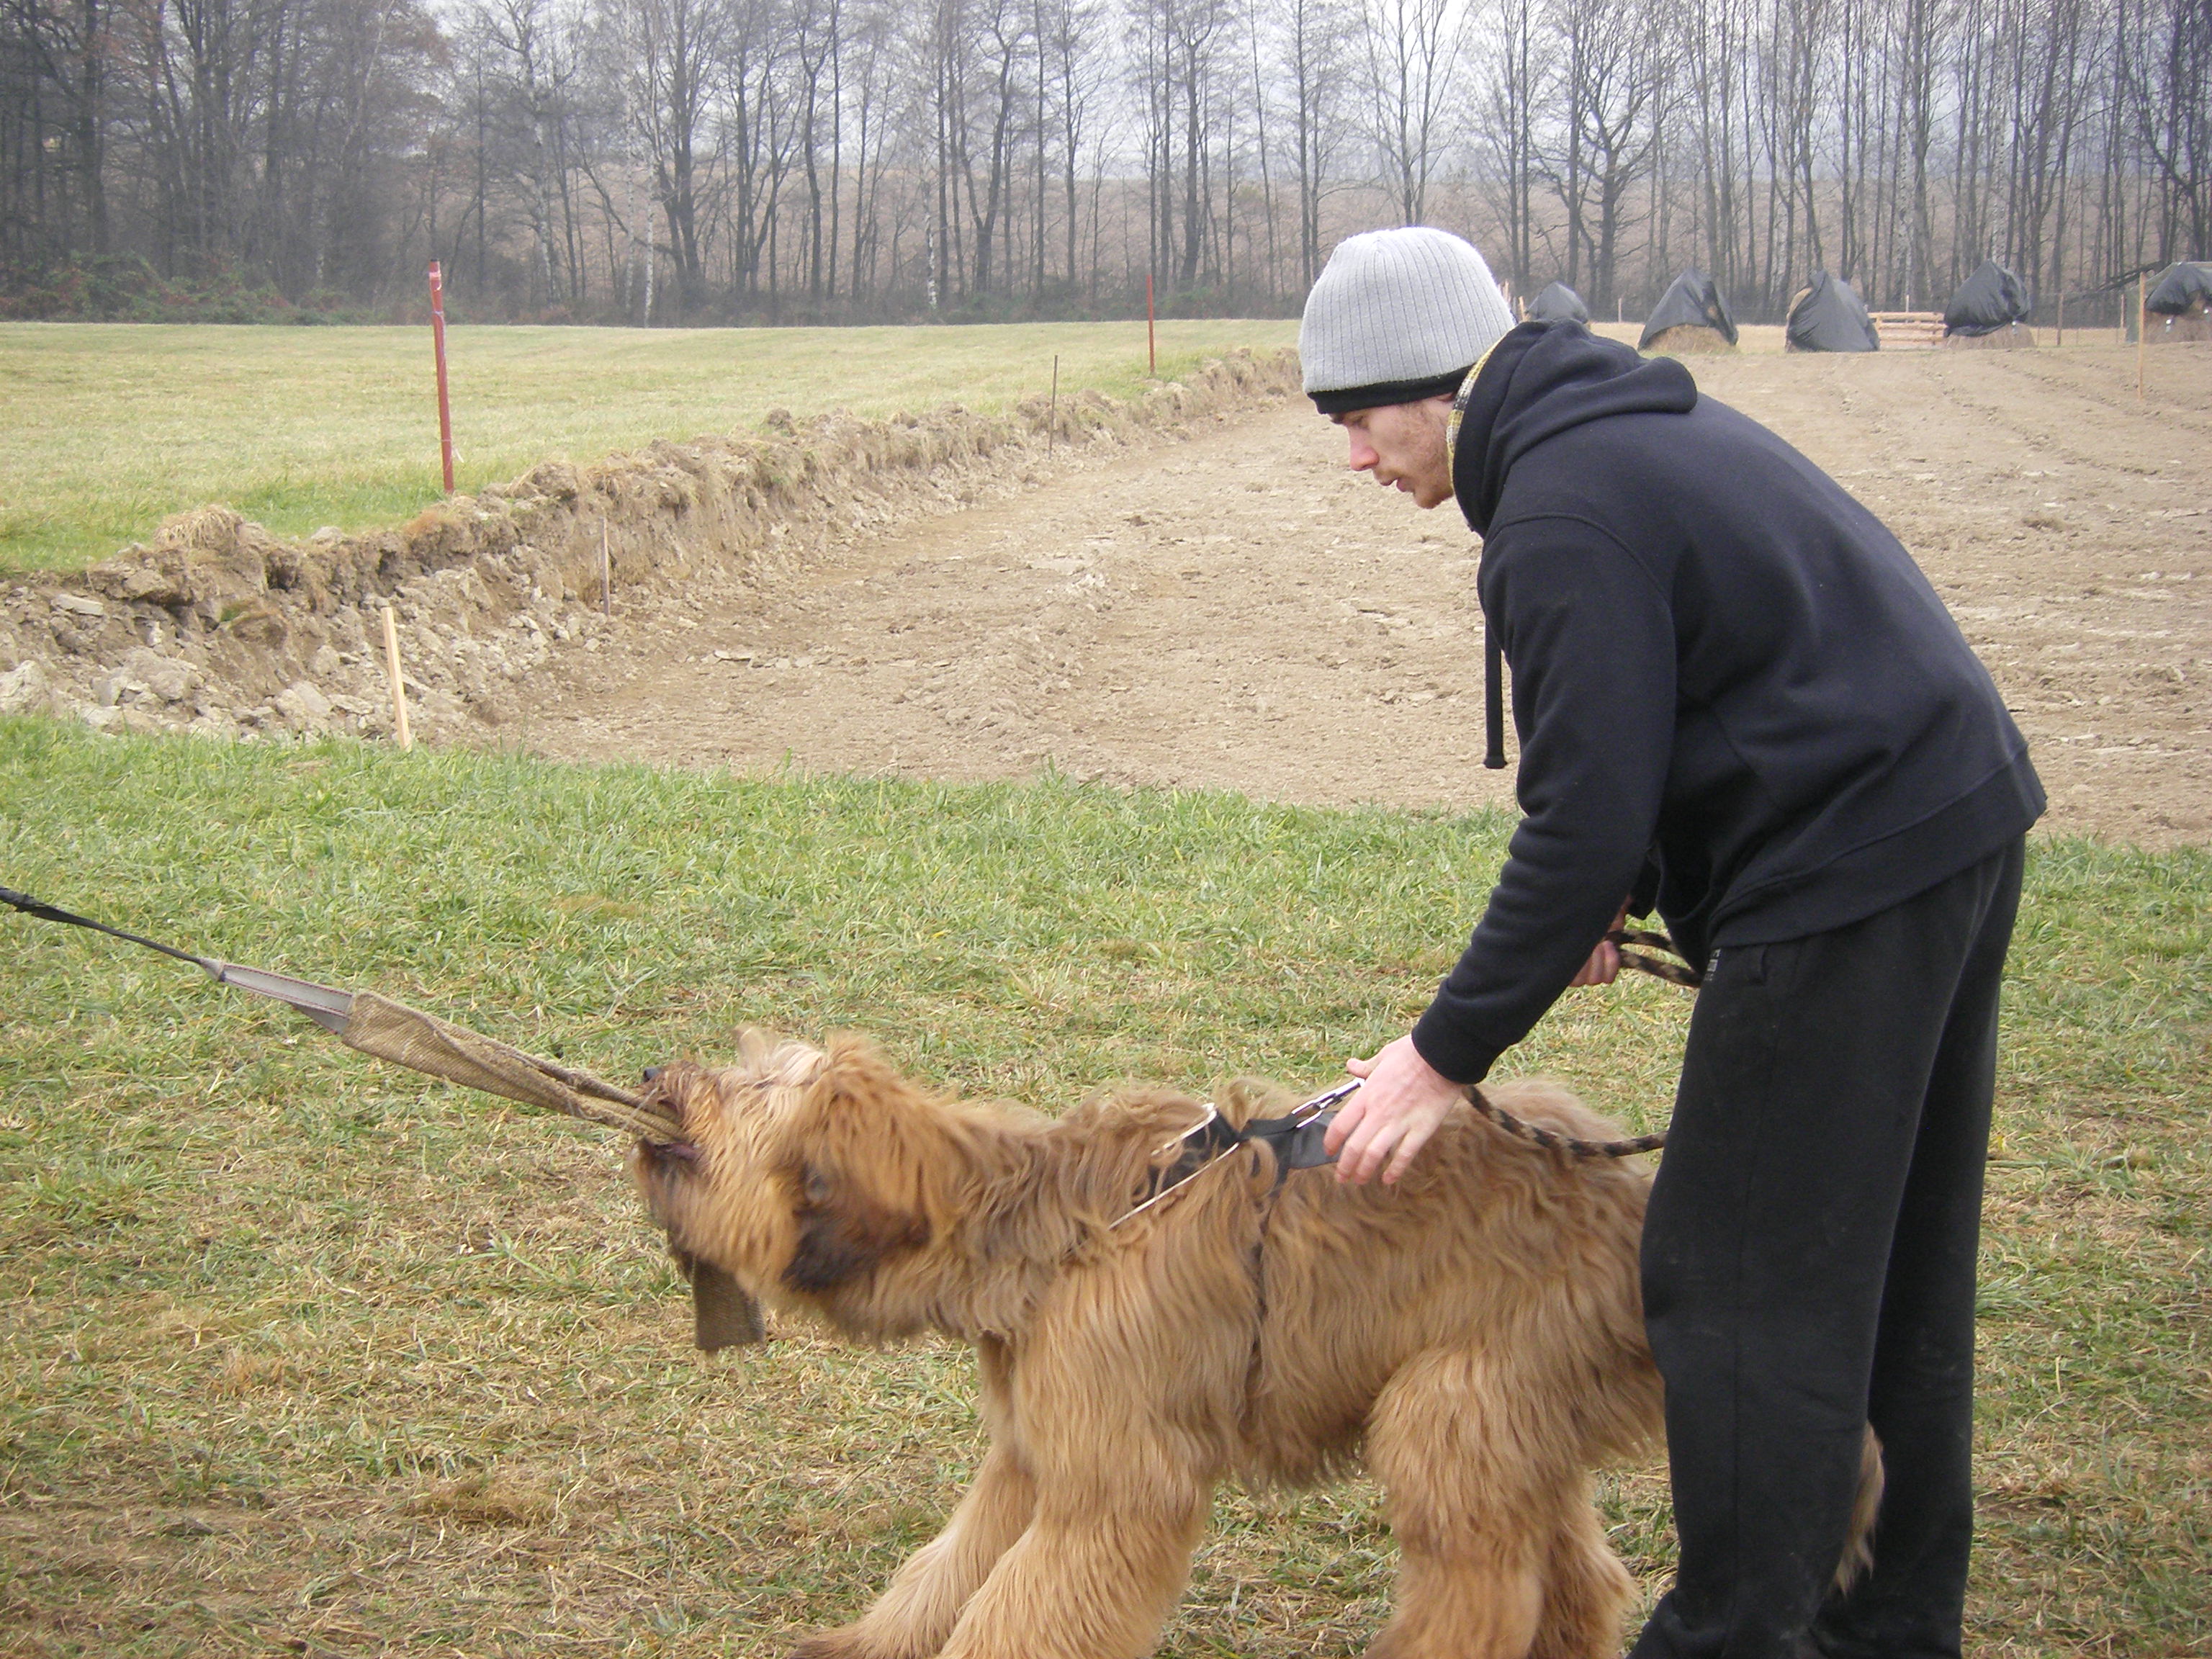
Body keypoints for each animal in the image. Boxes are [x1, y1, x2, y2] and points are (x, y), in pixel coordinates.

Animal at [632, 1039, 1663, 1659]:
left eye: (754, 1088)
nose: (651, 1079)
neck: (1034, 1228)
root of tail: (1638, 1213)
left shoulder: (1114, 1482)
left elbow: (1020, 1610)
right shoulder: (1030, 1453)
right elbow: (954, 1564)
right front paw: (869, 1644)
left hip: (1450, 1404)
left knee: (1479, 1588)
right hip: (1511, 1413)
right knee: (1569, 1572)